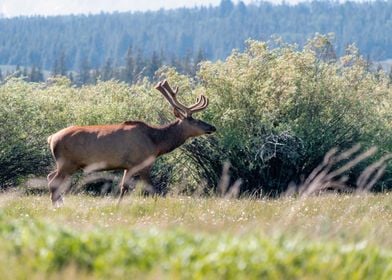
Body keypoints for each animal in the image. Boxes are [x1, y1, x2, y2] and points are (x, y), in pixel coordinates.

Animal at [47, 80, 216, 207]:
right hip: (67, 162)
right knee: (53, 181)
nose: (212, 127)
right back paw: (56, 205)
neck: (157, 143)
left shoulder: (128, 166)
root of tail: (51, 138)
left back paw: (59, 202)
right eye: (194, 120)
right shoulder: (144, 163)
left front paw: (118, 206)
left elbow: (124, 187)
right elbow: (152, 189)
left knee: (50, 177)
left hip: (67, 164)